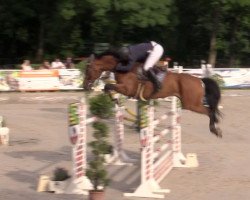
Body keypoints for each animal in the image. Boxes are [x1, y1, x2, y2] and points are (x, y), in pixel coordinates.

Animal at [84, 52, 223, 138]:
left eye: (88, 69)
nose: (85, 86)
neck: (123, 68)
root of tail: (200, 80)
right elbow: (107, 88)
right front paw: (115, 100)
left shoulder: (127, 89)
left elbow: (108, 86)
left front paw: (115, 99)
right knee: (211, 111)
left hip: (191, 104)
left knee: (209, 111)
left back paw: (215, 130)